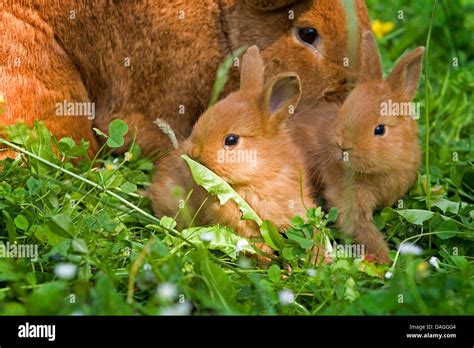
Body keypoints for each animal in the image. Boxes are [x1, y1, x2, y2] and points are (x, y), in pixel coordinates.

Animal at [290, 32, 424, 264]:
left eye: (379, 129)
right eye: (344, 110)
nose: (343, 147)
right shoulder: (348, 202)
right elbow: (364, 231)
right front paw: (384, 261)